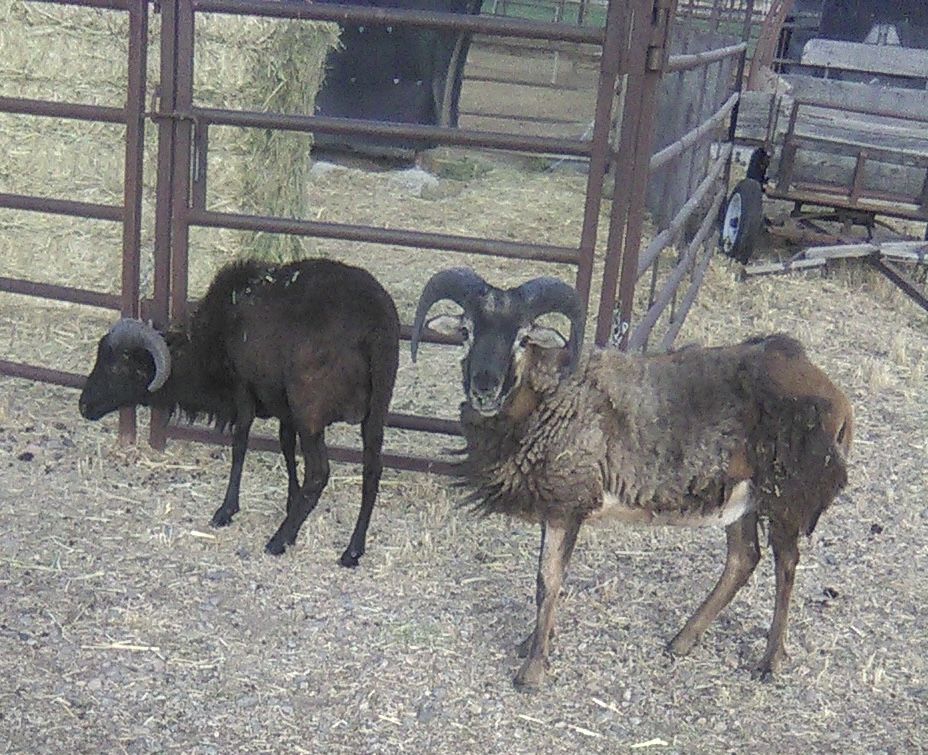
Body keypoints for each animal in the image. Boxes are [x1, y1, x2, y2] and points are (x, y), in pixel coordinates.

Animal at [79, 258, 400, 566]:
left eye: (117, 367)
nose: (83, 406)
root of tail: (374, 326)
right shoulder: (282, 403)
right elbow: (285, 445)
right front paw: (291, 502)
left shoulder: (244, 388)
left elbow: (240, 443)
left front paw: (226, 510)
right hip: (377, 407)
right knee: (372, 469)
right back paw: (352, 551)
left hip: (309, 407)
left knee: (319, 472)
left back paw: (279, 541)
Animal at [411, 267, 853, 689]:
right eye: (466, 331)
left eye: (522, 338)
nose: (483, 388)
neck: (550, 396)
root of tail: (835, 394)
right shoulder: (555, 502)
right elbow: (546, 579)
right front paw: (535, 642)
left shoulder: (567, 502)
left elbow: (548, 580)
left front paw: (532, 670)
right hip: (740, 496)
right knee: (744, 558)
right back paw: (682, 641)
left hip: (787, 493)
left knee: (787, 563)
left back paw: (770, 660)